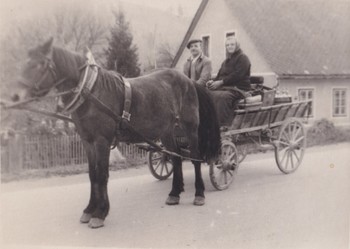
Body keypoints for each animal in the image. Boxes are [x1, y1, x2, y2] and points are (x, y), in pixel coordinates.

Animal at [12, 38, 220, 228]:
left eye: (40, 64)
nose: (15, 96)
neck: (91, 92)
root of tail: (189, 81)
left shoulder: (102, 141)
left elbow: (102, 175)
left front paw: (100, 213)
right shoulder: (87, 141)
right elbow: (92, 174)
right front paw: (89, 209)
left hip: (190, 128)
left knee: (195, 158)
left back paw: (199, 194)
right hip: (167, 130)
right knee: (175, 157)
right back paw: (174, 193)